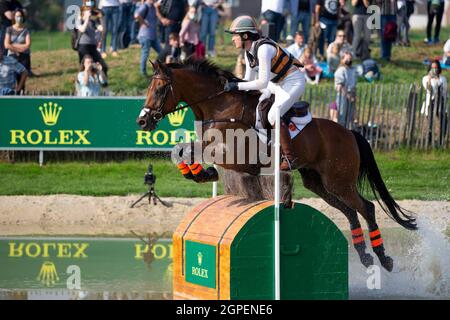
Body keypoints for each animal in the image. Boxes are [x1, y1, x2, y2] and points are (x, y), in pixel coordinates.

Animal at [135, 58, 416, 272]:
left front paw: (206, 172)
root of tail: (350, 132)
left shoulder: (234, 154)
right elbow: (182, 150)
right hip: (318, 183)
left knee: (367, 208)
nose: (142, 122)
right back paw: (364, 255)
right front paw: (201, 173)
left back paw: (383, 258)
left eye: (160, 89)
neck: (220, 107)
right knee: (349, 211)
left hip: (338, 181)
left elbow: (194, 150)